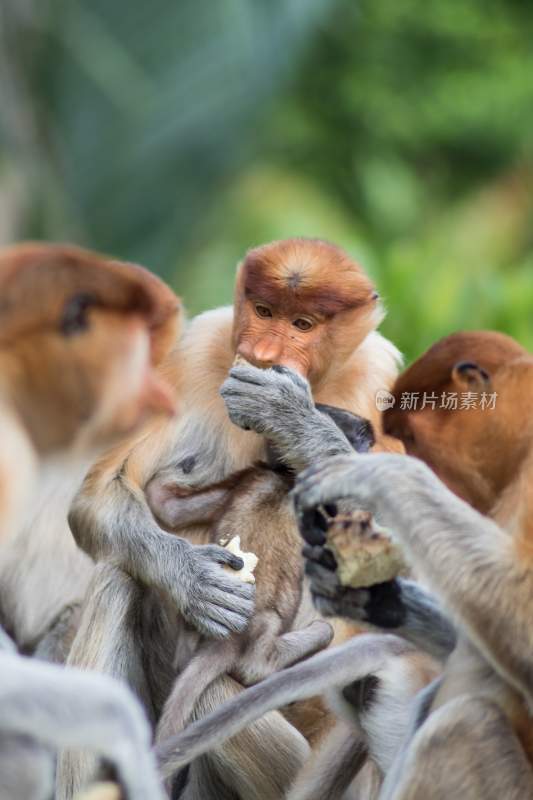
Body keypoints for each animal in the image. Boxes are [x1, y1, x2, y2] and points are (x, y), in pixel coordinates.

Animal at [60, 239, 402, 800]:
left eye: (302, 323)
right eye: (263, 311)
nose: (263, 356)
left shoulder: (382, 377)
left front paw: (291, 418)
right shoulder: (197, 349)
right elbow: (103, 494)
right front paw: (197, 581)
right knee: (119, 576)